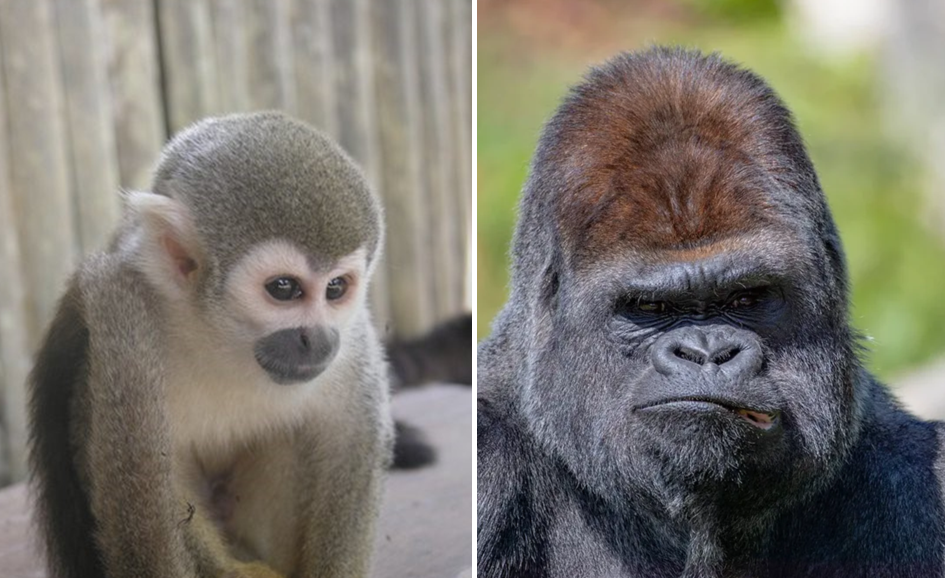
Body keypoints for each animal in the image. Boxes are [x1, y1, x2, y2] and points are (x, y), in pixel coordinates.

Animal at [28, 111, 393, 578]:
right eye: (284, 288)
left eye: (336, 288)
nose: (316, 338)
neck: (222, 340)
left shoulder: (351, 345)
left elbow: (351, 443)